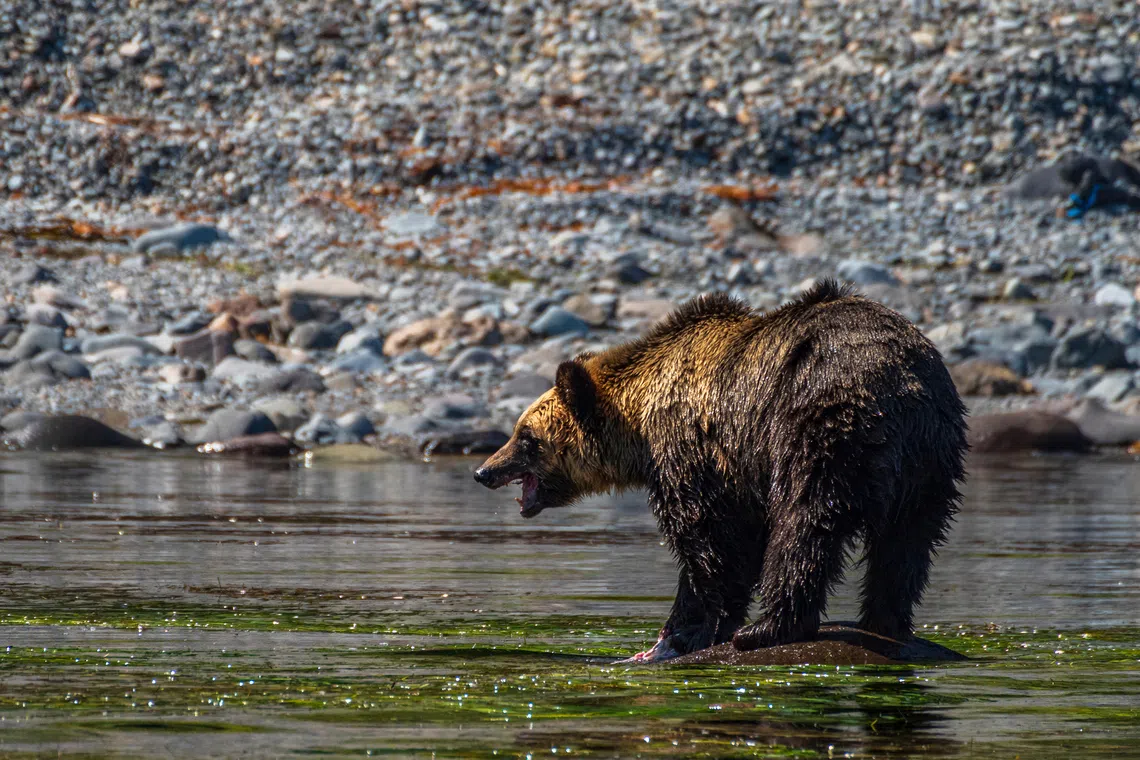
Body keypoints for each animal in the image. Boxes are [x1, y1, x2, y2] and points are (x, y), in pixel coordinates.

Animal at [474, 280, 968, 662]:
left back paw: (769, 629)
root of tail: (901, 383)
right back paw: (884, 623)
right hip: (931, 455)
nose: (484, 471)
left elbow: (709, 542)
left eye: (525, 436)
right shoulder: (736, 472)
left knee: (805, 523)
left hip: (821, 427)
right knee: (907, 543)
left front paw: (681, 633)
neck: (640, 424)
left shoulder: (696, 453)